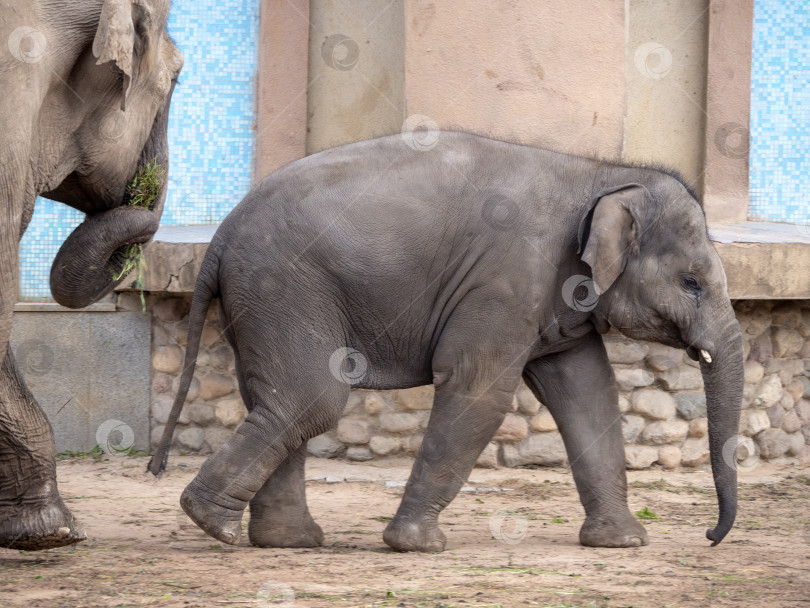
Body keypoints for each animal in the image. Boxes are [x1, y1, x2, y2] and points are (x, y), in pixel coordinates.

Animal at [148, 132, 740, 552]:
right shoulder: (506, 282)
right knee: (311, 398)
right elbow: (480, 391)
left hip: (263, 301)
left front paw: (622, 543)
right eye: (692, 282)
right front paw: (415, 546)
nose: (710, 537)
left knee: (275, 398)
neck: (603, 174)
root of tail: (220, 235)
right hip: (285, 287)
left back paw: (283, 541)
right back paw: (214, 525)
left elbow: (587, 392)